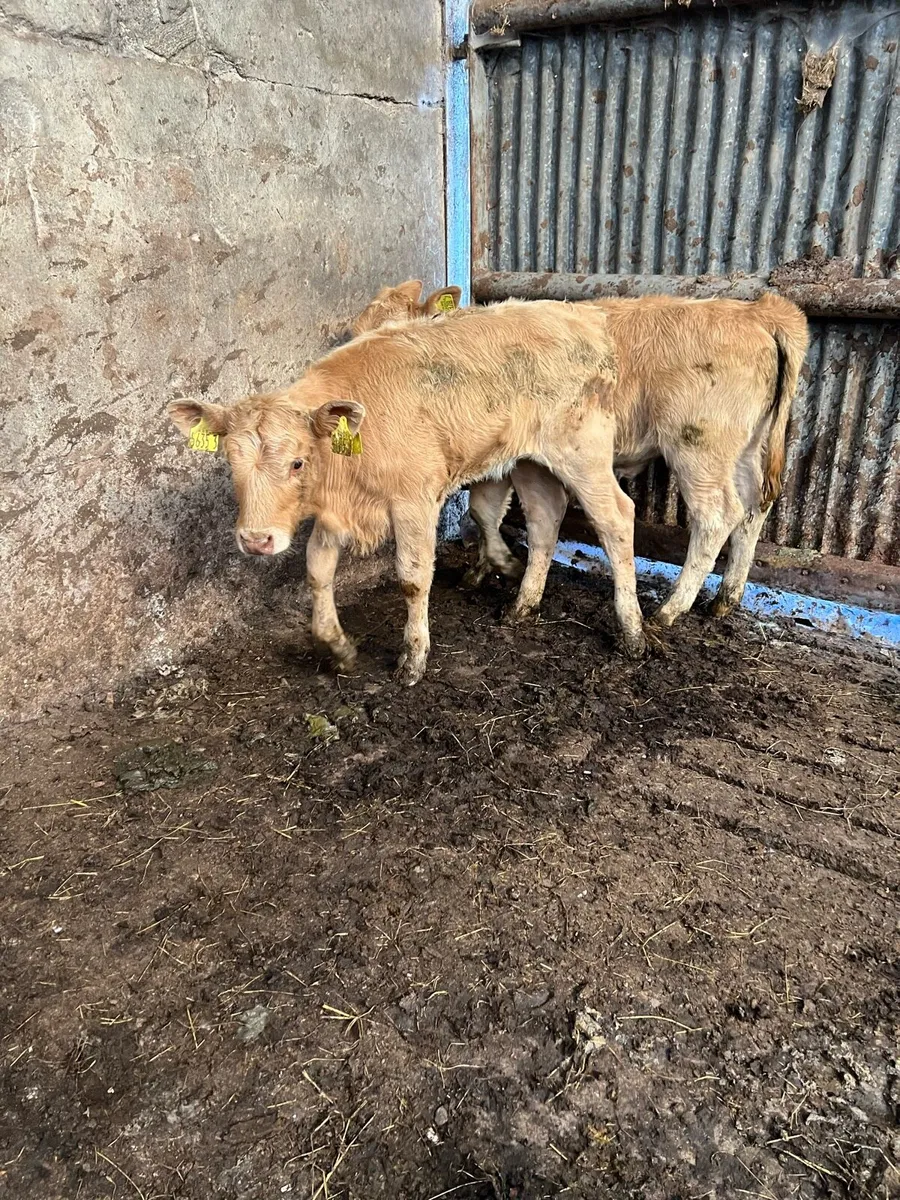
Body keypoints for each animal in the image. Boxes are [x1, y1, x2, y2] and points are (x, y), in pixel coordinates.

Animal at [169, 299, 644, 686]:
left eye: (297, 462)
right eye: (231, 463)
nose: (255, 539)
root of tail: (579, 315)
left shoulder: (414, 501)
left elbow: (413, 579)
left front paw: (413, 659)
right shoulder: (335, 512)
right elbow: (317, 571)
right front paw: (337, 647)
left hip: (583, 454)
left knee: (616, 519)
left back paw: (633, 630)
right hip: (530, 461)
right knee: (545, 519)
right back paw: (521, 606)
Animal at [349, 286, 808, 628]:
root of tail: (756, 311)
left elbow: (488, 511)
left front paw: (500, 566)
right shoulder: (498, 462)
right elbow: (485, 510)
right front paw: (483, 569)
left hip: (698, 449)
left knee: (716, 516)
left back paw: (669, 610)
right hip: (746, 448)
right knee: (754, 509)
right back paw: (725, 599)